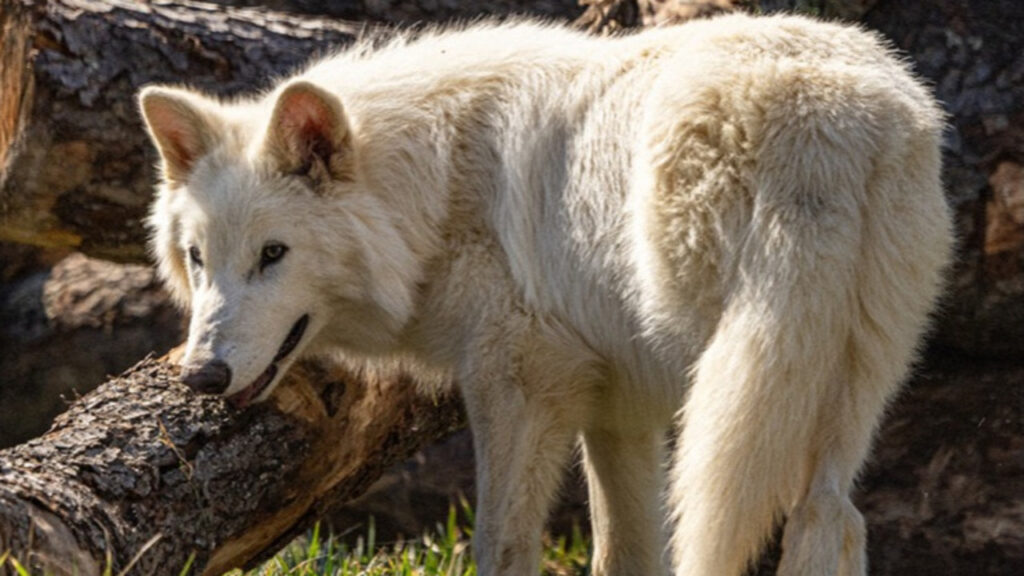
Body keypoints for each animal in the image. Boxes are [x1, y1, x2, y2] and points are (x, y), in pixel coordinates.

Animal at [140, 12, 952, 576]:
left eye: (273, 255)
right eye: (198, 259)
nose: (202, 375)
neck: (433, 191)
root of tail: (827, 120)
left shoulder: (522, 386)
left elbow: (502, 546)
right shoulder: (619, 411)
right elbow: (625, 554)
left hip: (728, 392)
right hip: (832, 398)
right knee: (831, 519)